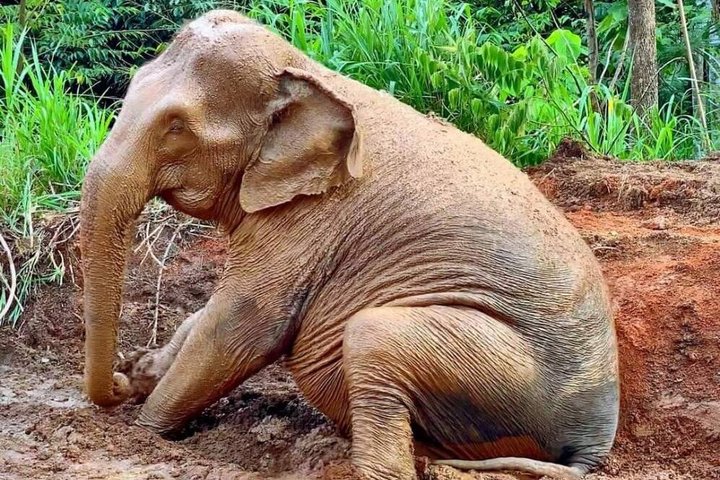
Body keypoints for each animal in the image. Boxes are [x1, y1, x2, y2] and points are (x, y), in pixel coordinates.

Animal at [79, 9, 619, 480]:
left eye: (176, 128)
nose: (121, 376)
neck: (308, 72)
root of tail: (594, 443)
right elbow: (209, 317)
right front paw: (143, 374)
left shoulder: (312, 220)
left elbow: (242, 327)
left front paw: (144, 432)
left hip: (505, 379)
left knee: (374, 336)